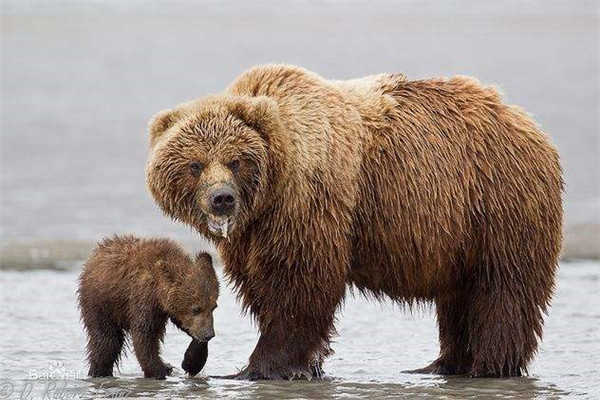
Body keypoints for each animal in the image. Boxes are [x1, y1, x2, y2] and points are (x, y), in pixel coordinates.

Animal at [145, 64, 564, 380]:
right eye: (194, 164)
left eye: (235, 160)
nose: (222, 199)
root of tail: (525, 121)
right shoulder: (253, 233)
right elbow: (260, 285)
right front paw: (303, 366)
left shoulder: (309, 205)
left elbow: (298, 285)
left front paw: (259, 367)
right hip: (459, 233)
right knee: (459, 296)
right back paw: (444, 364)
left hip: (496, 203)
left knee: (501, 289)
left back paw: (488, 366)